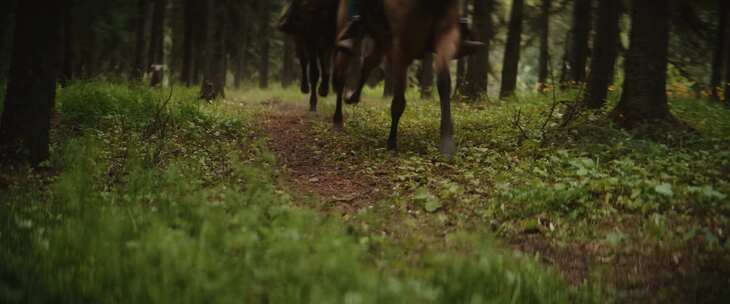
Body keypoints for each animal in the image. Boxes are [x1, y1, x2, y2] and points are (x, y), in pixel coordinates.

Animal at [332, 0, 460, 157]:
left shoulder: (447, 32)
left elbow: (444, 83)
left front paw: (447, 142)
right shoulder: (400, 46)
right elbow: (399, 101)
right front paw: (392, 143)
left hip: (380, 39)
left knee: (368, 63)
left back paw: (353, 97)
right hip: (346, 33)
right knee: (341, 75)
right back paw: (337, 121)